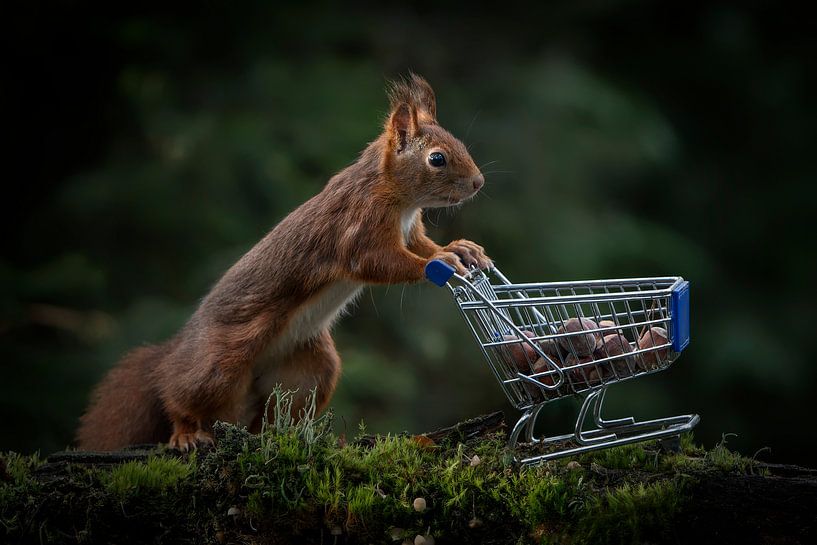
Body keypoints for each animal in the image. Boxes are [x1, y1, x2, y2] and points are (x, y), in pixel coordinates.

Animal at [77, 74, 490, 451]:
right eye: (437, 158)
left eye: (458, 143)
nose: (478, 183)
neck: (394, 193)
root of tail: (175, 349)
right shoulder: (359, 225)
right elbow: (378, 263)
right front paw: (441, 261)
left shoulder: (410, 231)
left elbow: (421, 245)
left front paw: (460, 249)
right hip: (218, 364)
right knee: (177, 392)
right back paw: (186, 431)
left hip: (310, 369)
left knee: (272, 415)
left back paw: (281, 435)